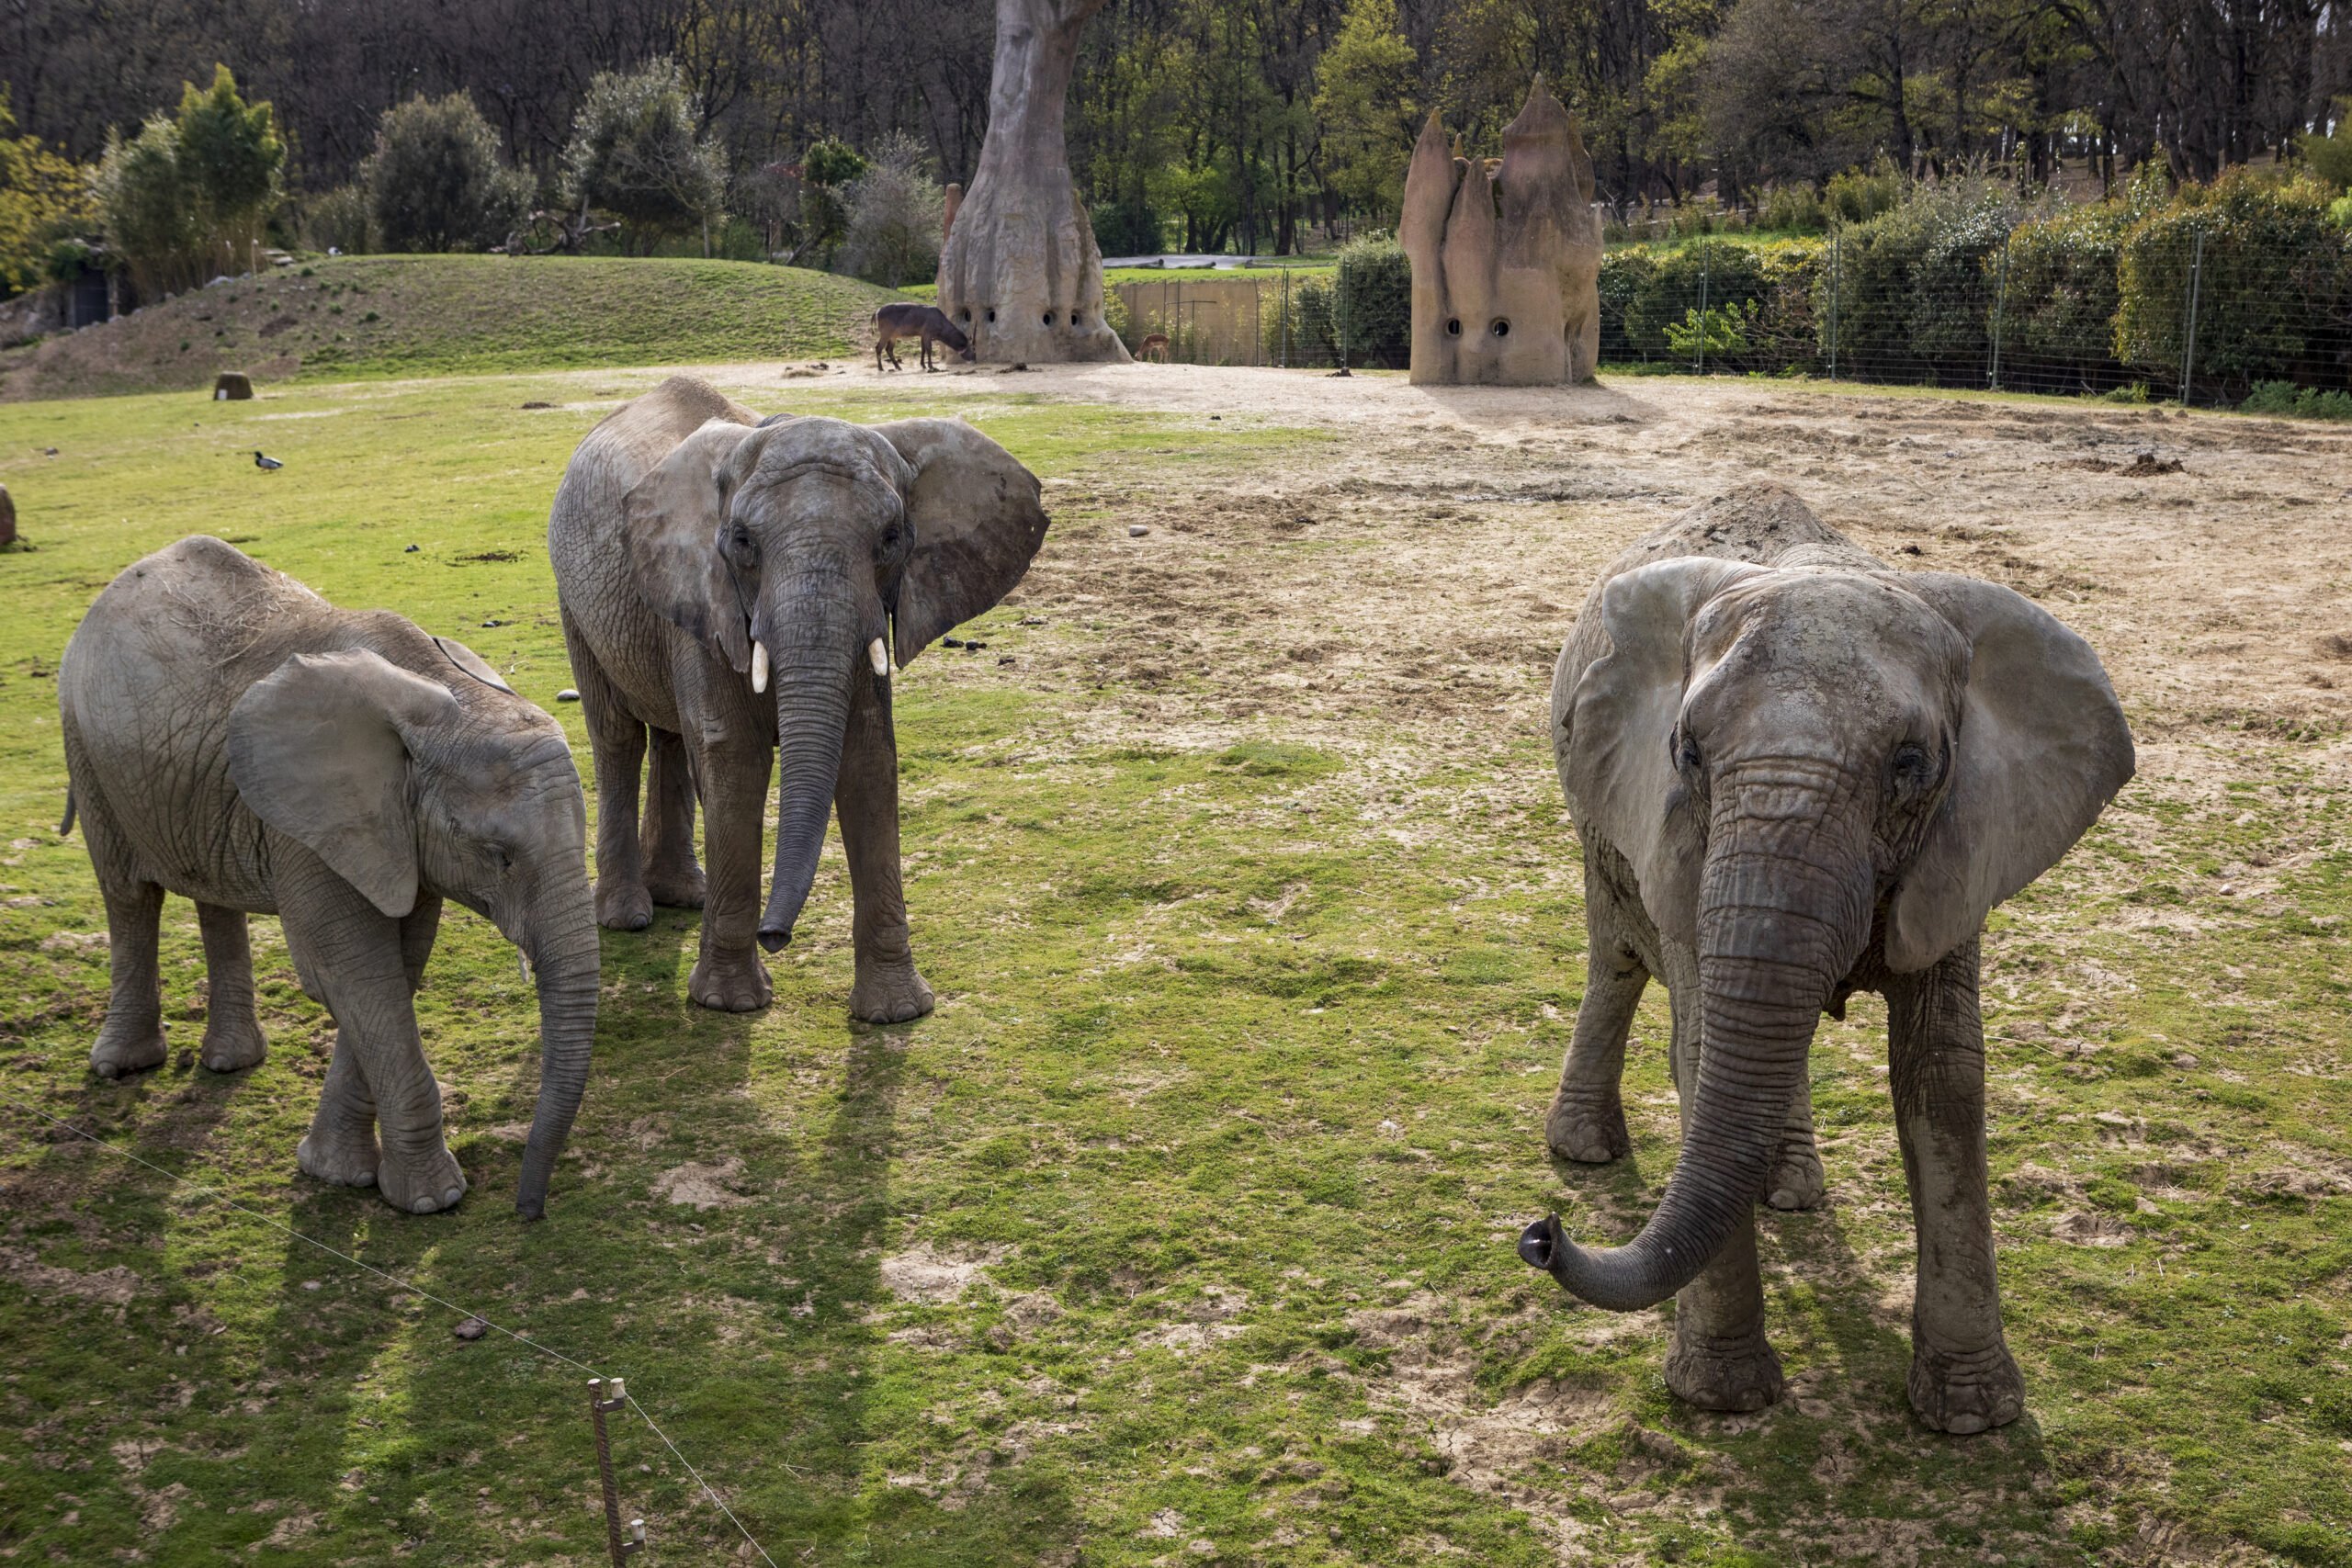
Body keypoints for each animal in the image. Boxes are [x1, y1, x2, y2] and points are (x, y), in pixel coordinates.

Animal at [62, 533, 602, 1222]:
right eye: (498, 854)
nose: (527, 1211)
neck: (442, 699)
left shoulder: (399, 834)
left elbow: (394, 968)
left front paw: (336, 1173)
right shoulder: (315, 826)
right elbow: (350, 972)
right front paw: (432, 1200)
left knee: (210, 895)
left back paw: (231, 1061)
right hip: (83, 743)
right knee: (128, 894)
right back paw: (124, 1067)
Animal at [550, 373, 1048, 1024]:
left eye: (892, 539)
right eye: (741, 542)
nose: (775, 936)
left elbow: (867, 757)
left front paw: (896, 1012)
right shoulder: (708, 590)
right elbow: (734, 758)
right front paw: (729, 1004)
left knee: (670, 736)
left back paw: (685, 896)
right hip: (575, 598)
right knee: (617, 735)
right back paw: (627, 917)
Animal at [1514, 486, 2144, 1438]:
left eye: (1911, 763)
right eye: (1687, 753)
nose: (1540, 1236)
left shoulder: (1967, 838)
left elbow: (1943, 1074)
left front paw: (1971, 1415)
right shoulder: (1677, 833)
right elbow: (1702, 1050)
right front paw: (1724, 1399)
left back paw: (1789, 1188)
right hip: (1599, 819)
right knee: (1616, 957)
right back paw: (1587, 1150)